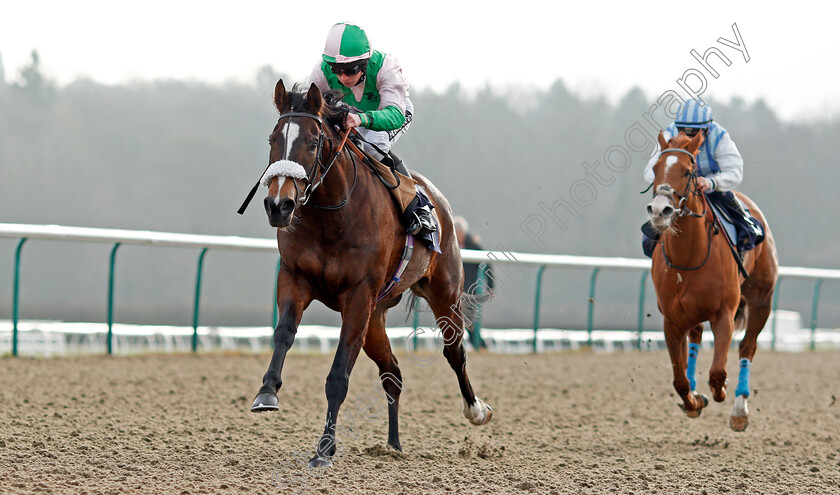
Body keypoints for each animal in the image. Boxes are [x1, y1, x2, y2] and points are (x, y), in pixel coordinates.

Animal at [248, 79, 492, 466]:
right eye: (272, 139)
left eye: (313, 142)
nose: (279, 205)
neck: (331, 217)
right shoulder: (294, 277)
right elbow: (283, 333)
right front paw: (267, 392)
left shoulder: (358, 295)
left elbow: (338, 376)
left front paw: (325, 449)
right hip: (376, 317)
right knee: (393, 371)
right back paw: (392, 444)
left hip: (443, 292)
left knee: (454, 352)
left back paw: (476, 410)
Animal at [648, 131, 776, 430]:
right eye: (656, 169)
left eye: (687, 171)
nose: (660, 210)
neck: (689, 257)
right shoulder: (672, 320)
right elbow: (680, 380)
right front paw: (694, 401)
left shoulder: (724, 313)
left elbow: (718, 372)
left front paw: (721, 391)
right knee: (695, 337)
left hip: (762, 299)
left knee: (747, 346)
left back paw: (739, 410)